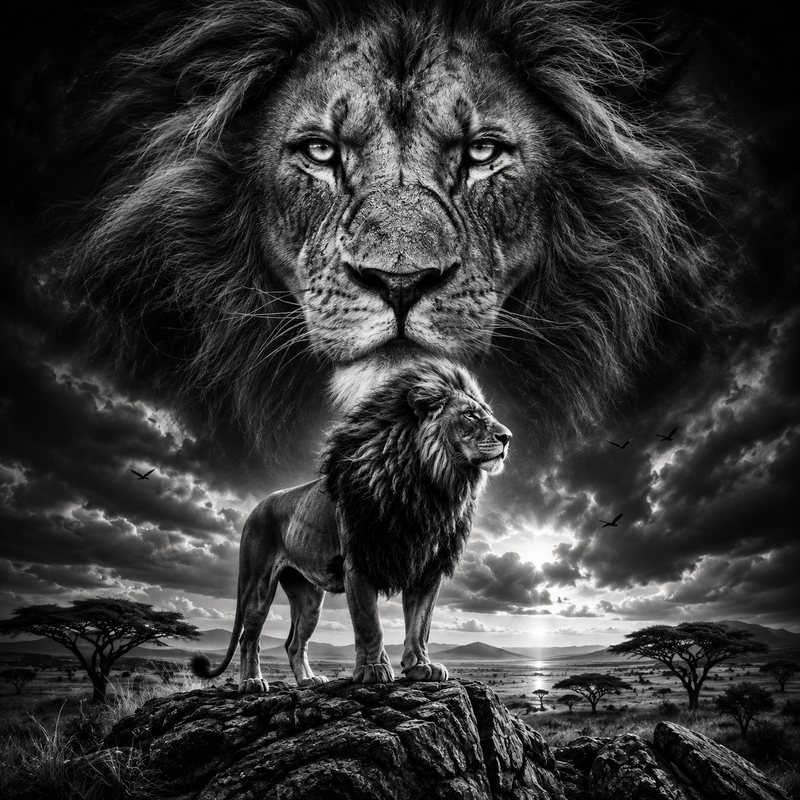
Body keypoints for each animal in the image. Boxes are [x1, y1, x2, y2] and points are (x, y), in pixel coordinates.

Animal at [190, 358, 511, 690]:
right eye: (469, 414)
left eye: (488, 413)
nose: (508, 436)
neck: (428, 487)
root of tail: (255, 508)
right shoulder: (358, 559)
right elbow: (369, 621)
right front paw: (373, 668)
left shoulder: (427, 565)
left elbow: (421, 623)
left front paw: (422, 666)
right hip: (258, 584)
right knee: (249, 637)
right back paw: (252, 682)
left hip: (309, 597)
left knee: (294, 642)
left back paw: (308, 680)